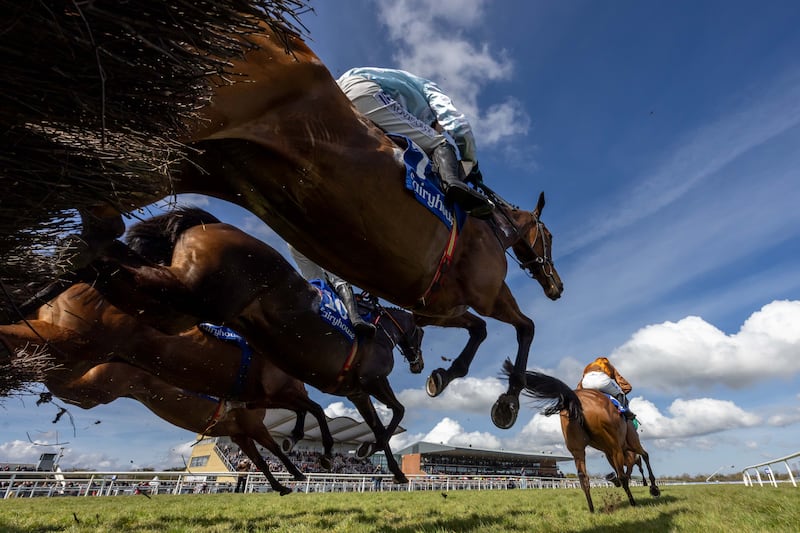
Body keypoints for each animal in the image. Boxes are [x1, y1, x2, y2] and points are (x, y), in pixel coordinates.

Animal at [0, 284, 338, 496]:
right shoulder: (261, 410)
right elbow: (310, 414)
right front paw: (309, 457)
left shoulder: (240, 429)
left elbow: (261, 458)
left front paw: (284, 481)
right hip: (81, 357)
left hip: (87, 382)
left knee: (49, 373)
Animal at [506, 362, 664, 512]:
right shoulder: (629, 443)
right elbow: (645, 456)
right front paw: (654, 488)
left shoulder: (609, 451)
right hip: (616, 446)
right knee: (623, 475)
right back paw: (632, 503)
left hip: (578, 449)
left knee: (584, 478)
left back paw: (592, 510)